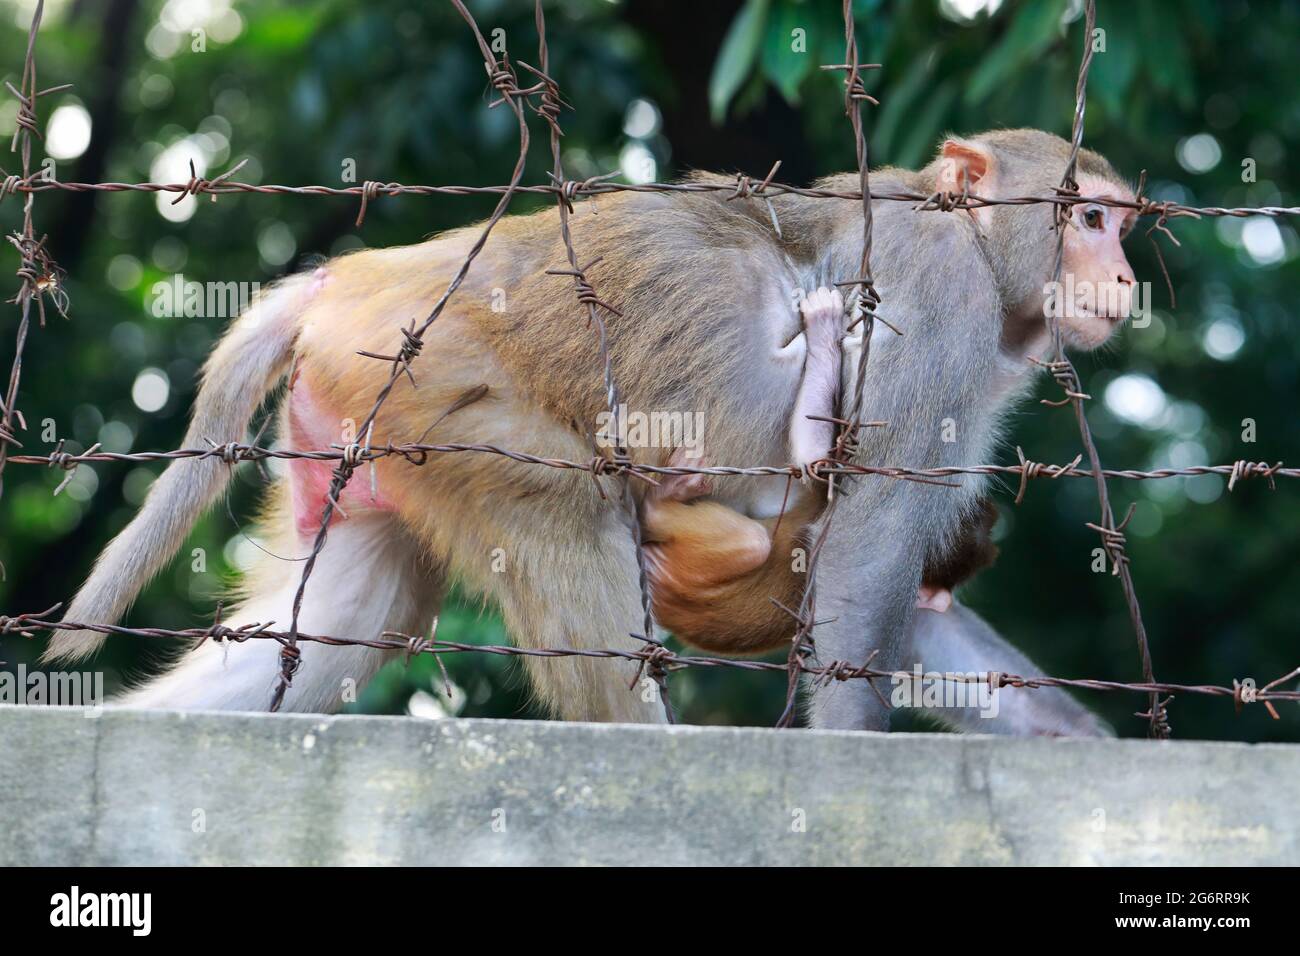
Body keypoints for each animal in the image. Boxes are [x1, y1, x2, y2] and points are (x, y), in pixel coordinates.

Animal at [37, 129, 1138, 732]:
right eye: (1087, 219)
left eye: (1122, 223)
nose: (1125, 275)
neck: (981, 253)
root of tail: (345, 278)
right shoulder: (939, 302)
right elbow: (866, 551)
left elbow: (907, 593)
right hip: (438, 383)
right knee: (565, 508)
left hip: (357, 429)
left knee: (342, 619)